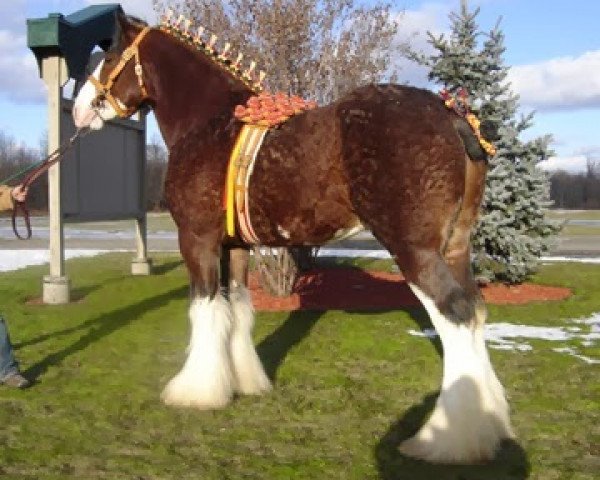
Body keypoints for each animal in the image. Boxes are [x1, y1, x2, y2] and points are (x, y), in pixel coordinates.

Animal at [70, 13, 510, 464]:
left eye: (108, 56)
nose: (79, 110)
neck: (210, 120)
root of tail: (450, 113)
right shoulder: (236, 248)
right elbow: (237, 308)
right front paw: (244, 382)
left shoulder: (198, 240)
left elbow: (205, 309)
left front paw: (196, 392)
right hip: (455, 248)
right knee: (475, 312)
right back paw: (488, 427)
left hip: (415, 252)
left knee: (455, 316)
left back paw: (443, 441)